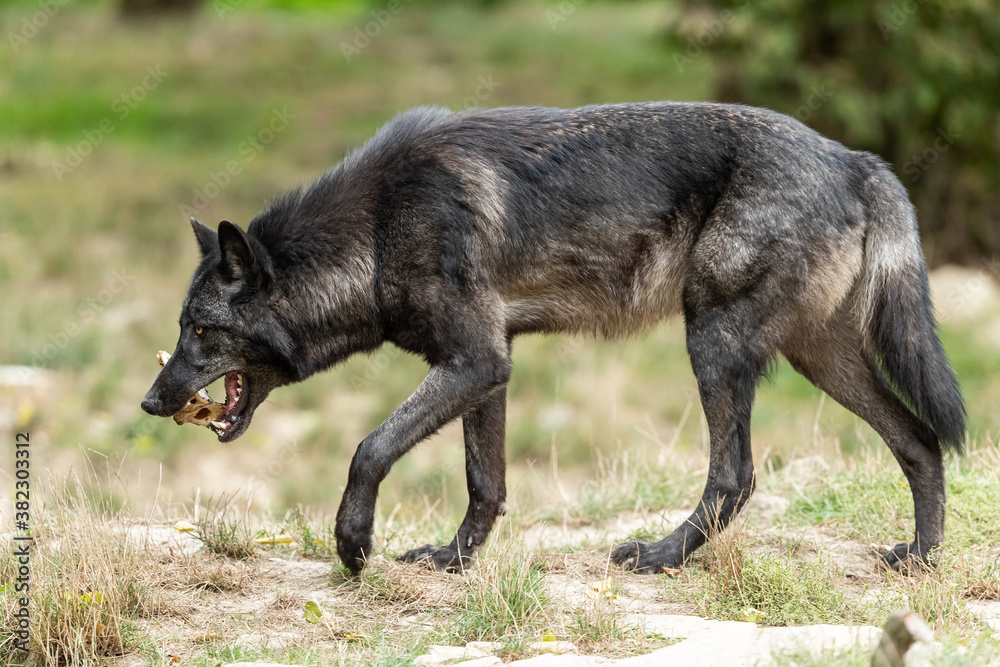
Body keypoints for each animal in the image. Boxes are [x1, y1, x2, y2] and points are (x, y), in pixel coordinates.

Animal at [141, 103, 960, 576]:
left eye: (201, 330)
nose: (150, 401)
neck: (377, 225)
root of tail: (857, 160)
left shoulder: (475, 360)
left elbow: (369, 447)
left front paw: (352, 544)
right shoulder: (485, 368)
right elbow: (485, 482)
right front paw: (453, 559)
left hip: (714, 344)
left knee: (736, 476)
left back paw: (658, 557)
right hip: (817, 357)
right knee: (920, 440)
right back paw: (920, 558)